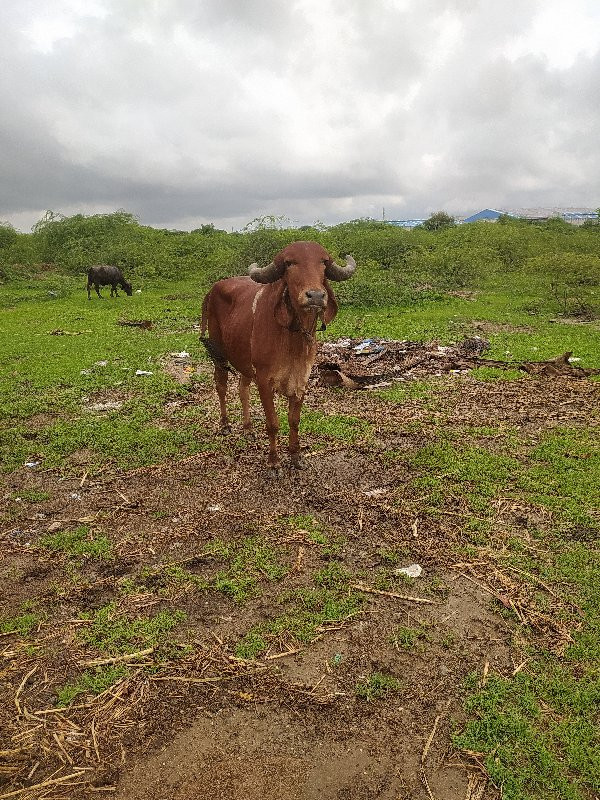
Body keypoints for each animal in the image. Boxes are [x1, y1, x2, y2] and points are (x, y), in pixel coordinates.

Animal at [202, 241, 354, 472]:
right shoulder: (265, 381)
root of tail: (213, 289)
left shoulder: (301, 379)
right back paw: (225, 424)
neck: (293, 336)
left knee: (242, 389)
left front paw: (295, 456)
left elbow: (294, 420)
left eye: (323, 262)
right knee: (221, 385)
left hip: (245, 362)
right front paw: (273, 463)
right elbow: (273, 423)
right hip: (219, 354)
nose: (316, 296)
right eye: (289, 263)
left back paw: (248, 428)